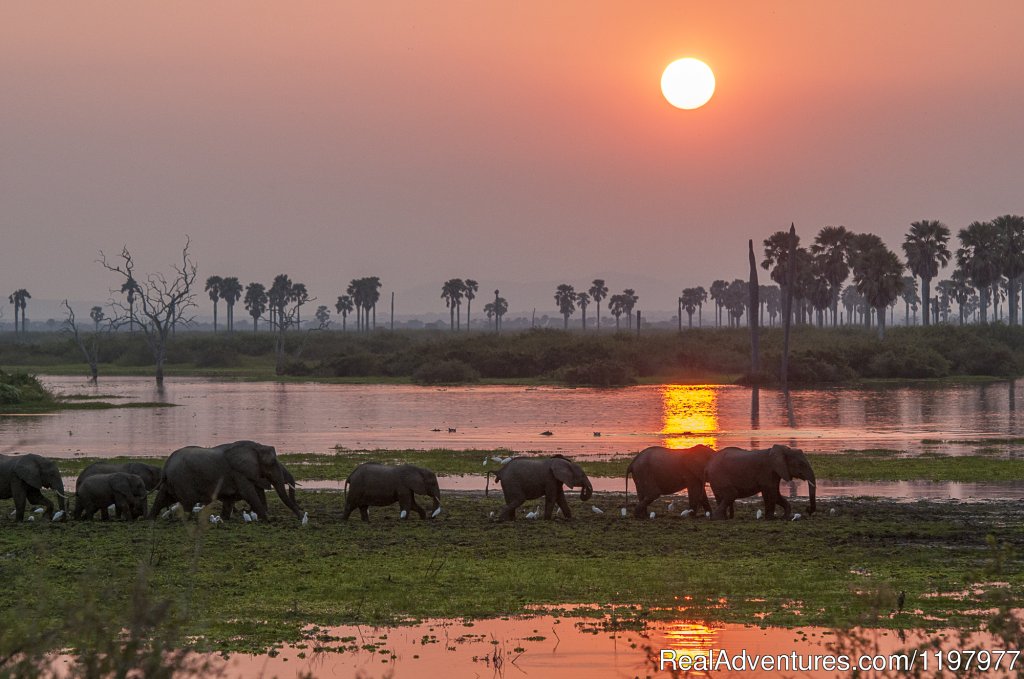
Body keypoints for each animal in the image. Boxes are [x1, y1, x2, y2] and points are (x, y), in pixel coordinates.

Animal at [146, 440, 301, 520]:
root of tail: (166, 466)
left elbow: (230, 499)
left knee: (161, 498)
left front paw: (224, 519)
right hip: (182, 480)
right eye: (273, 462)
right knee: (187, 504)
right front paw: (267, 519)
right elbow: (249, 493)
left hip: (171, 482)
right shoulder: (239, 473)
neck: (257, 446)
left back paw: (149, 519)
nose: (301, 515)